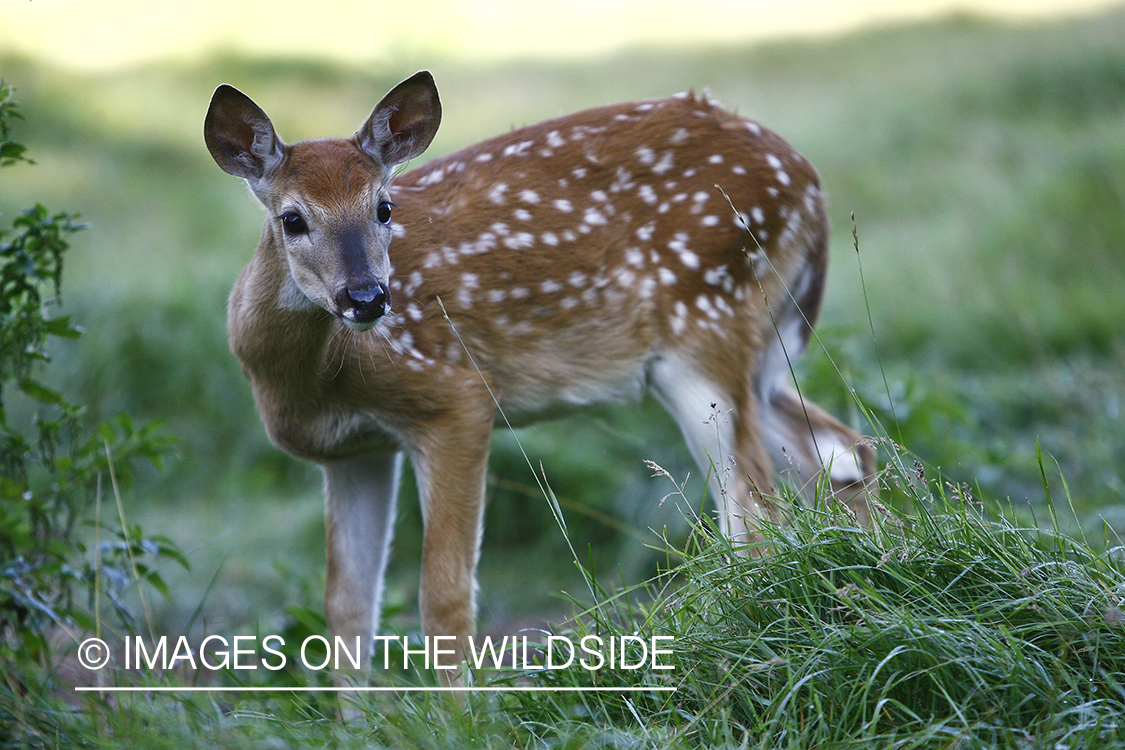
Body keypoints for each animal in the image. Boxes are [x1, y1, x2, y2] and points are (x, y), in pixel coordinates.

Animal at [203, 70, 877, 694]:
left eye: (384, 207)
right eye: (292, 219)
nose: (367, 297)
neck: (317, 381)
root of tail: (809, 179)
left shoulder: (453, 400)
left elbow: (444, 597)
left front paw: (460, 723)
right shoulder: (353, 452)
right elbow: (346, 611)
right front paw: (359, 727)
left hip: (707, 327)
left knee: (758, 516)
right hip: (754, 357)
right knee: (842, 450)